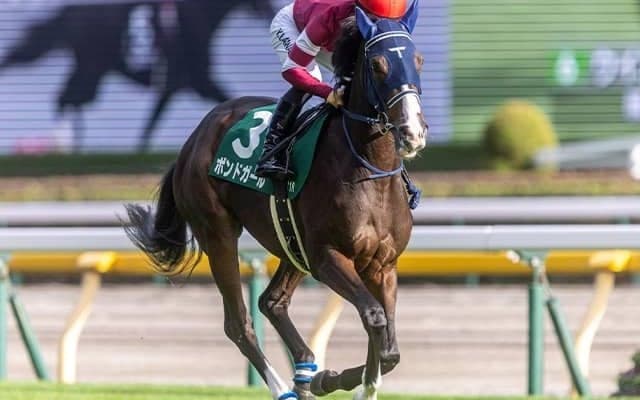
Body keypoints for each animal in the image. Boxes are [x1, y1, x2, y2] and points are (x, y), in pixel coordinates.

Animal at [124, 5, 427, 400]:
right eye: (377, 65)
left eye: (418, 60)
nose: (412, 132)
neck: (368, 171)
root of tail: (194, 139)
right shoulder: (327, 256)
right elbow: (374, 318)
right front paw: (335, 379)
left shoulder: (383, 265)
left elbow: (388, 346)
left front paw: (343, 381)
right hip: (218, 233)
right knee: (238, 322)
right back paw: (286, 386)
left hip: (291, 242)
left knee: (272, 300)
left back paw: (306, 370)